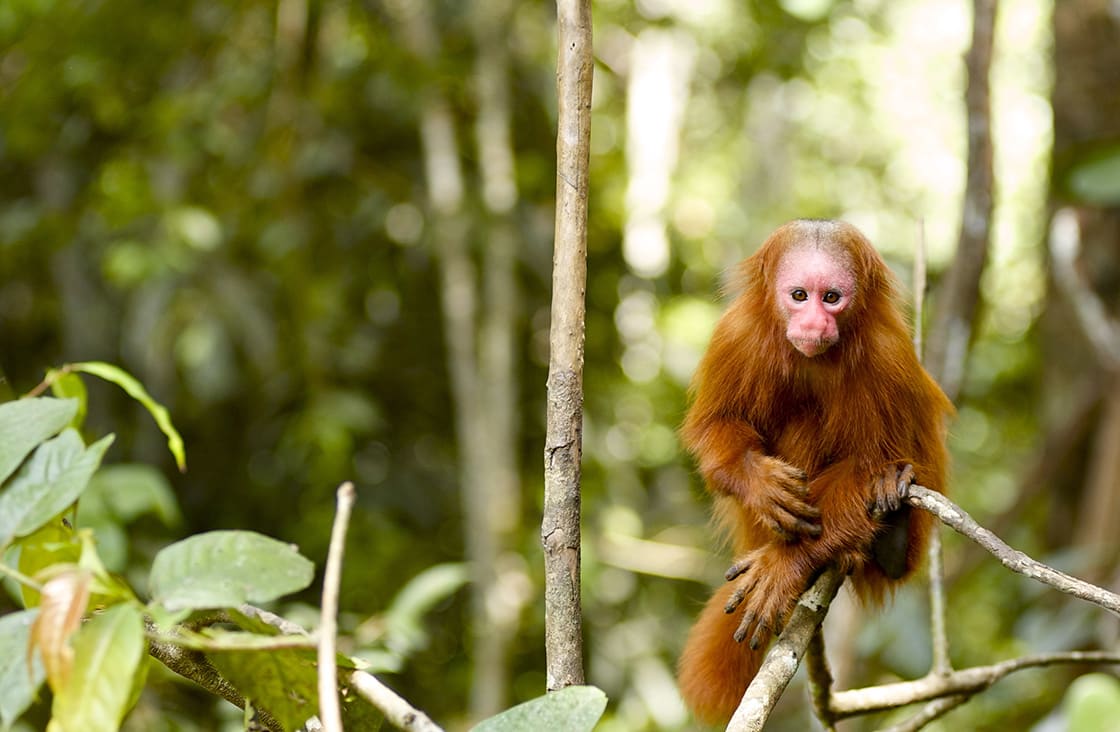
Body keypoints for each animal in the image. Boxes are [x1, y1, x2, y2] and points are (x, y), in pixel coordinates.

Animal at [672, 220, 954, 725]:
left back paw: (889, 539)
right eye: (800, 295)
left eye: (832, 298)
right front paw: (760, 483)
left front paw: (785, 565)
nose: (814, 323)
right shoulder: (735, 336)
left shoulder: (886, 356)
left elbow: (866, 466)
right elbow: (715, 428)